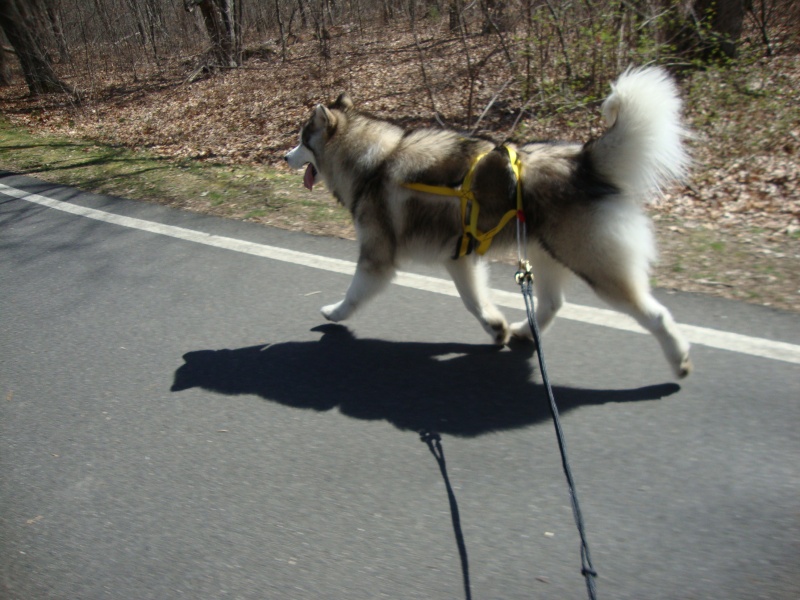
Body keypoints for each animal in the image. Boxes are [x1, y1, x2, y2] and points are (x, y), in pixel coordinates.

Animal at [286, 68, 692, 378]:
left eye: (302, 140)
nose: (284, 156)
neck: (376, 161)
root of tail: (583, 159)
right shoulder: (459, 258)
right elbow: (474, 301)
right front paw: (496, 328)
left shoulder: (377, 257)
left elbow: (355, 292)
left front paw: (335, 313)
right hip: (544, 253)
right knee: (552, 302)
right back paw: (524, 332)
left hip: (594, 263)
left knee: (656, 314)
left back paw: (678, 358)